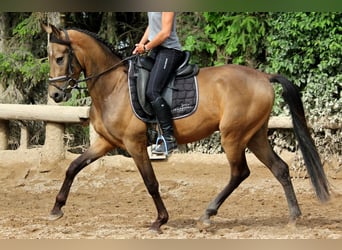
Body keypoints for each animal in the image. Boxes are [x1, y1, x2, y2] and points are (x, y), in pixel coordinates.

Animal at [42, 23, 328, 232]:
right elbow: (73, 167)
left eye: (60, 58)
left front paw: (160, 221)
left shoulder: (135, 144)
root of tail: (263, 77)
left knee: (240, 172)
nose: (55, 95)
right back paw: (294, 216)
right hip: (255, 136)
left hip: (233, 136)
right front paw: (56, 209)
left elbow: (151, 183)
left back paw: (207, 214)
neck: (113, 86)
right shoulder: (106, 142)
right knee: (279, 168)